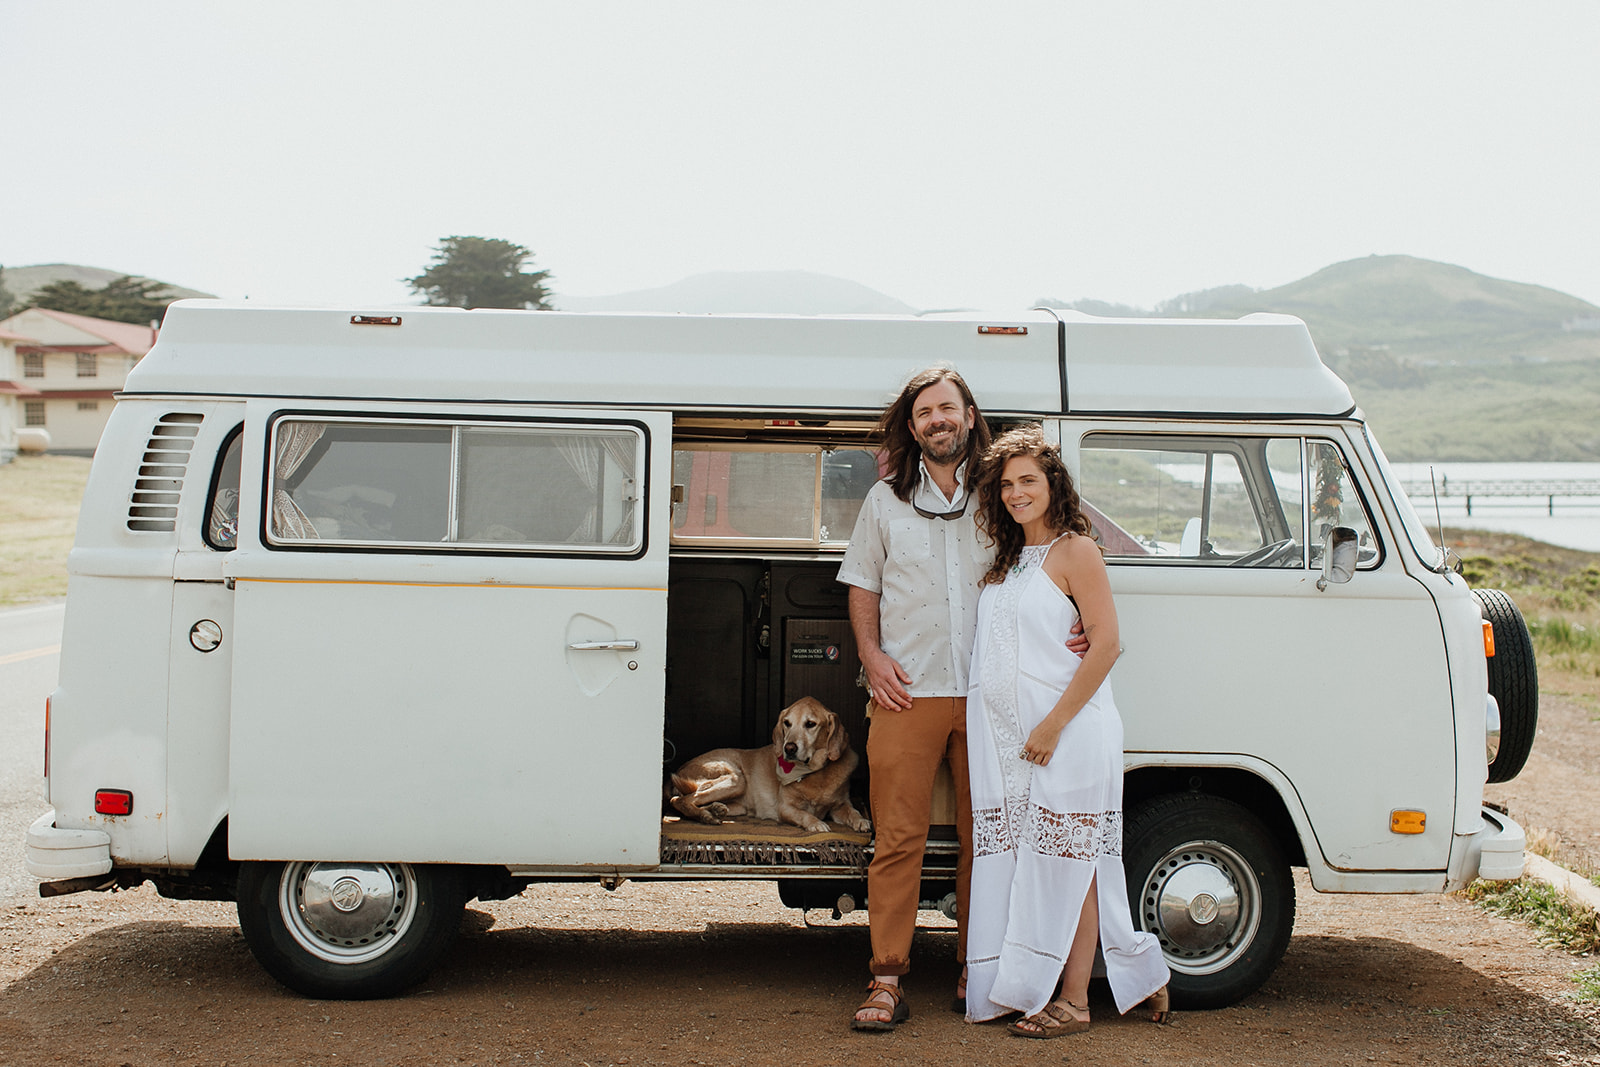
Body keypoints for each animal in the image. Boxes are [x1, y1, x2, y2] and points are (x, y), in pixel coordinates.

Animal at [675, 697, 876, 838]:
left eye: (810, 724)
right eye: (787, 723)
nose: (789, 748)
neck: (816, 774)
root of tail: (681, 767)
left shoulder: (840, 805)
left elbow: (853, 811)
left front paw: (861, 820)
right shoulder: (785, 808)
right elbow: (805, 815)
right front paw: (816, 823)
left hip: (738, 801)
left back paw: (715, 809)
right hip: (736, 779)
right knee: (681, 800)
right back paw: (706, 816)